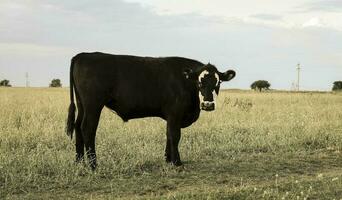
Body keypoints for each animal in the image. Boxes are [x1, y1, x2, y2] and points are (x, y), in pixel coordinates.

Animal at [66, 51, 235, 169]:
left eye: (218, 83)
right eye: (199, 82)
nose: (208, 104)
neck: (185, 81)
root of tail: (83, 55)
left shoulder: (171, 117)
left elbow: (168, 135)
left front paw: (168, 159)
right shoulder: (175, 114)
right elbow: (175, 135)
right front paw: (177, 162)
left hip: (82, 105)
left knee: (77, 127)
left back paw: (79, 161)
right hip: (93, 105)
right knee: (88, 128)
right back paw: (93, 164)